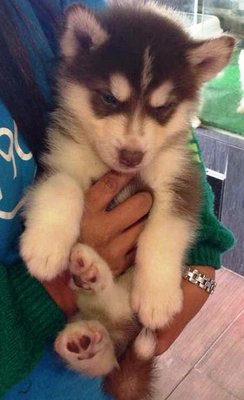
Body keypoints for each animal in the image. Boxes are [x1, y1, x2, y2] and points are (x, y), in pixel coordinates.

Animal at [20, 1, 234, 398]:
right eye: (108, 98)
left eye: (162, 109)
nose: (132, 156)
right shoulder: (59, 161)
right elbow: (63, 188)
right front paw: (45, 246)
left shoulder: (181, 180)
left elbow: (163, 233)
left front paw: (157, 296)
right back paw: (86, 324)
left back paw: (91, 299)